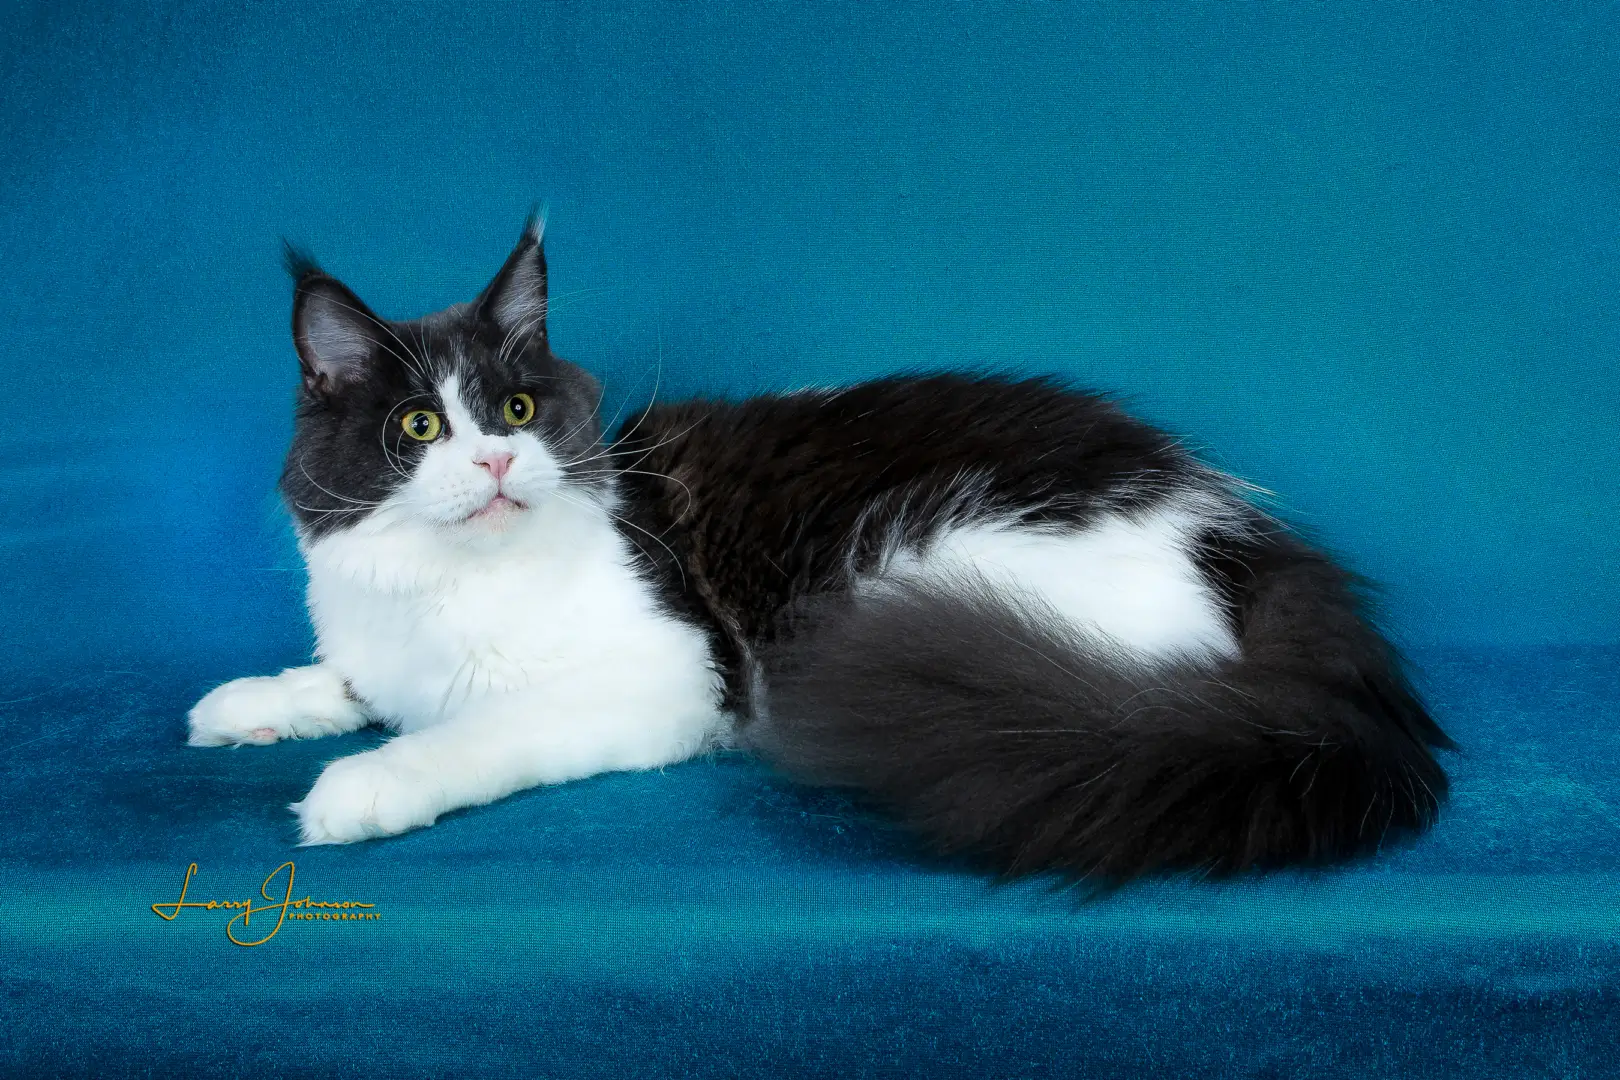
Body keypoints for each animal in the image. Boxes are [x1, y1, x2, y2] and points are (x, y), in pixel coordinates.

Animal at [189, 216, 1458, 880]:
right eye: (418, 428)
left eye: (514, 410)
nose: (499, 466)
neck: (448, 588)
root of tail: (1235, 526)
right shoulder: (378, 636)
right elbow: (348, 677)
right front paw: (254, 702)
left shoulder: (666, 675)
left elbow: (475, 732)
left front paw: (368, 784)